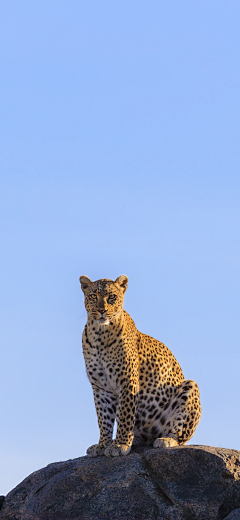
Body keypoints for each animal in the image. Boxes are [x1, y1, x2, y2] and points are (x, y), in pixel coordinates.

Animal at [79, 274, 202, 458]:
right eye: (93, 296)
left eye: (112, 297)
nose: (101, 311)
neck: (99, 333)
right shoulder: (100, 387)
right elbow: (103, 418)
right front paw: (103, 444)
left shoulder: (127, 381)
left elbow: (125, 414)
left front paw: (120, 445)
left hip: (190, 387)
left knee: (180, 436)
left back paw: (166, 440)